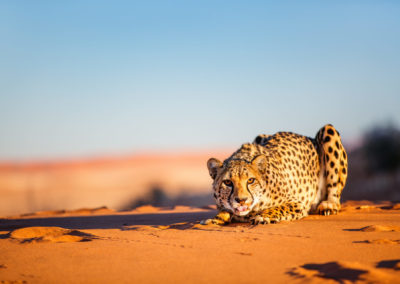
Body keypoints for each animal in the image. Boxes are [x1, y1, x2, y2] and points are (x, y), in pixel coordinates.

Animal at [202, 123, 348, 224]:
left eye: (250, 180)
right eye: (227, 182)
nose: (241, 200)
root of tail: (308, 137)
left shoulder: (297, 203)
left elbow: (278, 208)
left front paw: (263, 216)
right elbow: (224, 210)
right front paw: (215, 219)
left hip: (328, 130)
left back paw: (329, 205)